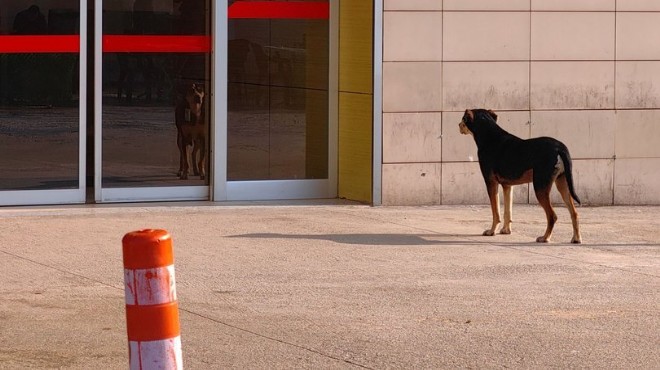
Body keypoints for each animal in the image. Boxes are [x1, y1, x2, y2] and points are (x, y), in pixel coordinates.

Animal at [462, 108, 580, 244]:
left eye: (463, 119)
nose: (458, 125)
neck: (489, 136)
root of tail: (559, 147)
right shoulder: (507, 186)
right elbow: (507, 211)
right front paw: (506, 230)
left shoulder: (491, 183)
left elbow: (496, 212)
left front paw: (491, 231)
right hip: (563, 184)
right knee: (574, 213)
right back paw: (576, 238)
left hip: (540, 186)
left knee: (552, 216)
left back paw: (545, 237)